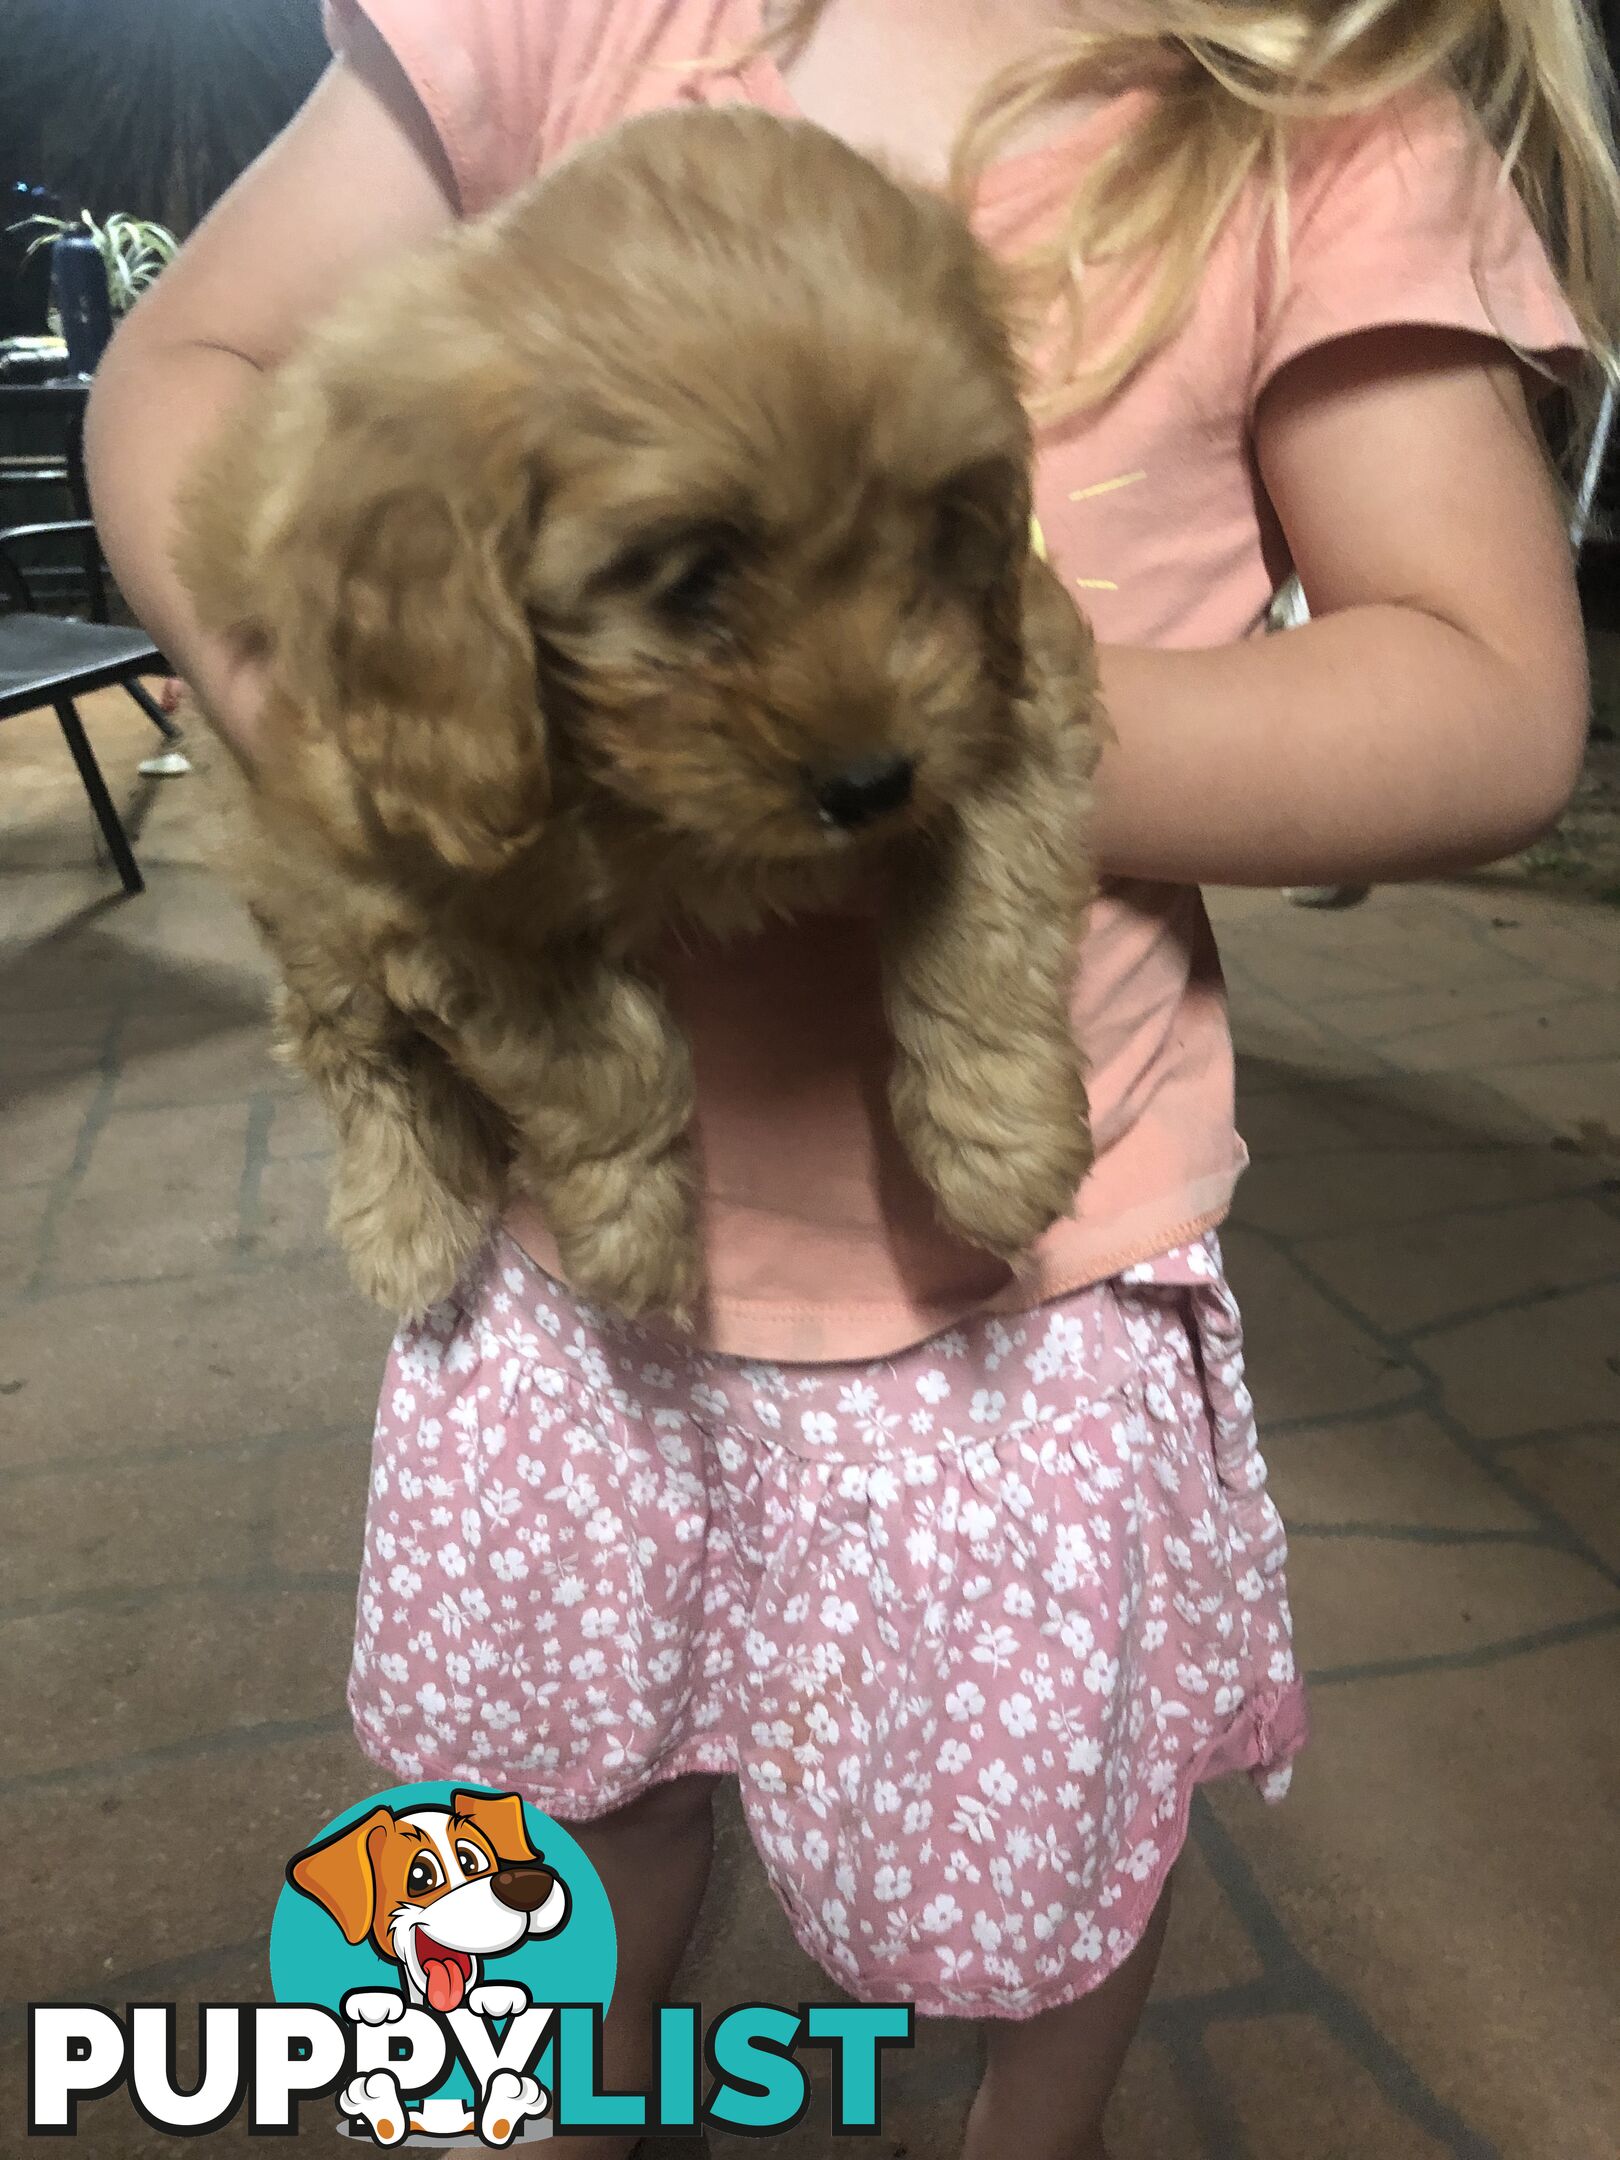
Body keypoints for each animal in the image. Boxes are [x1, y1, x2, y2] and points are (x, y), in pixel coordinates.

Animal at [180, 105, 1105, 1330]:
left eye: (937, 527)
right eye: (693, 580)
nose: (870, 786)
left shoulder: (1009, 691)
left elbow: (987, 918)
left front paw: (999, 1147)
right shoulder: (414, 877)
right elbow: (599, 1059)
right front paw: (631, 1240)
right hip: (295, 884)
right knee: (352, 1045)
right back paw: (410, 1220)